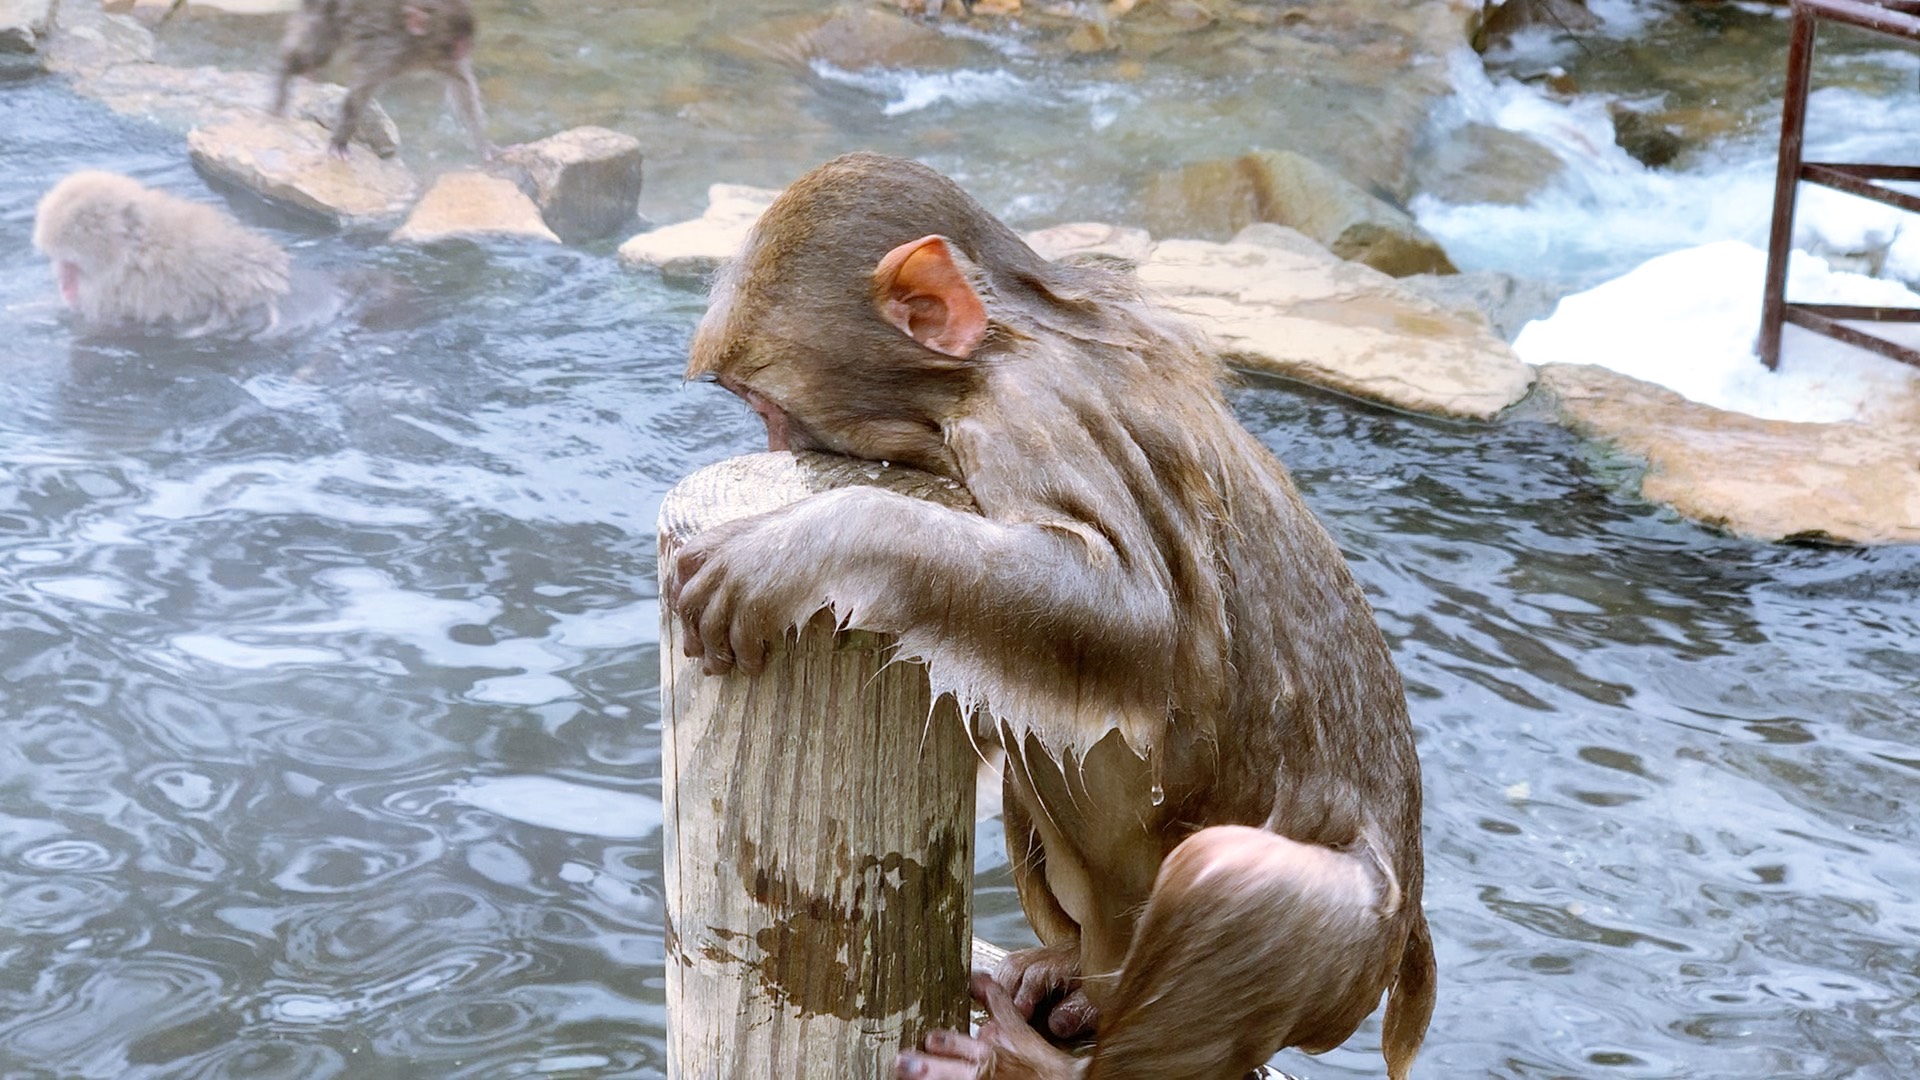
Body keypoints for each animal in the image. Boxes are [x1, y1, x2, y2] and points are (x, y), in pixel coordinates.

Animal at [274, 0, 491, 157]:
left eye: (467, 41)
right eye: (459, 43)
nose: (468, 50)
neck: (416, 44)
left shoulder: (443, 60)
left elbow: (462, 85)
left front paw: (485, 147)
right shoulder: (386, 51)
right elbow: (359, 95)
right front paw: (340, 141)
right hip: (326, 10)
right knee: (318, 51)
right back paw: (283, 79)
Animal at [668, 151, 1436, 1076]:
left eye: (768, 410)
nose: (775, 453)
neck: (1011, 338)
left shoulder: (1027, 414)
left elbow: (1139, 618)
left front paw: (810, 540)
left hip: (1352, 964)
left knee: (1238, 878)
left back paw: (1029, 1061)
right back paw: (1070, 977)